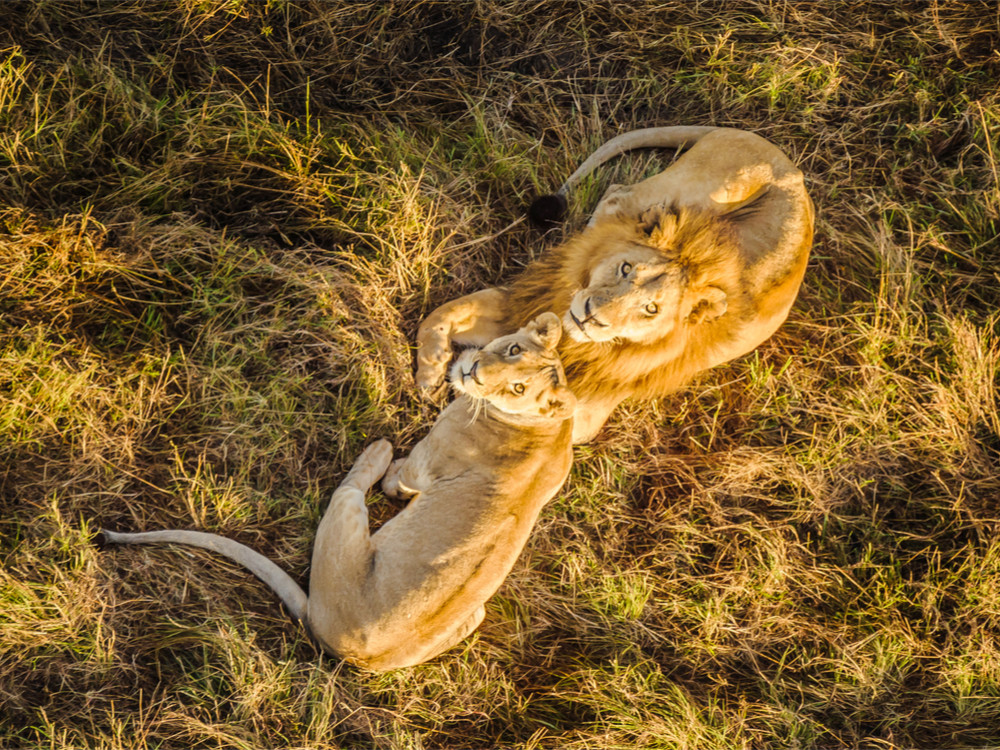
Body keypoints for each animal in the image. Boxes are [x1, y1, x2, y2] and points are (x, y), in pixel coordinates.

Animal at [101, 313, 575, 671]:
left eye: (517, 387)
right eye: (513, 351)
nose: (474, 372)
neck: (550, 427)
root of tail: (326, 635)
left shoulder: (425, 464)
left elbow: (399, 480)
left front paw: (390, 470)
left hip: (345, 510)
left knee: (351, 485)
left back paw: (377, 451)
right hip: (475, 614)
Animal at [416, 126, 814, 443]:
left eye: (651, 309)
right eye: (625, 268)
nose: (591, 316)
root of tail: (792, 167)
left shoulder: (585, 414)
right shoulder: (521, 300)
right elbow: (440, 315)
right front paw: (432, 368)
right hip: (704, 189)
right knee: (618, 192)